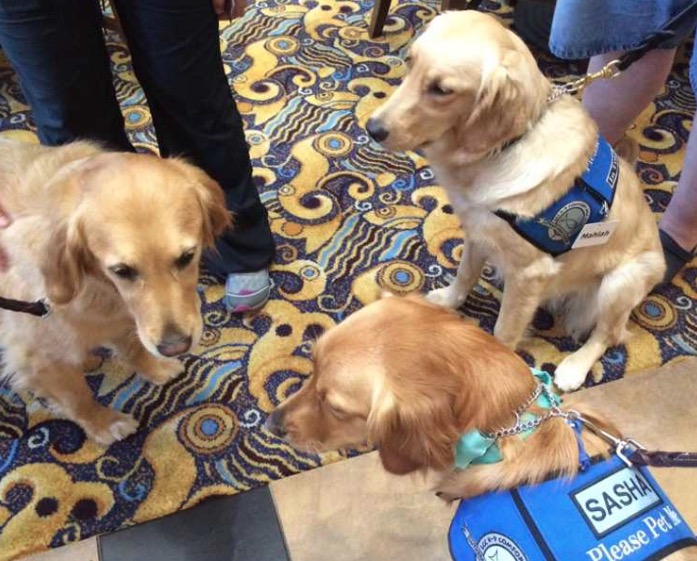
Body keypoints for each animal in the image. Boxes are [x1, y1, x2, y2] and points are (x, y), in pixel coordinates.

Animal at [0, 140, 231, 446]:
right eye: (122, 270)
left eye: (187, 257)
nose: (174, 347)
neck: (98, 286)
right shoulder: (37, 357)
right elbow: (78, 399)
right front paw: (104, 424)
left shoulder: (127, 319)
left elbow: (133, 346)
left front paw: (155, 367)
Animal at [364, 10, 664, 392]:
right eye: (409, 62)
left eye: (442, 90)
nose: (373, 128)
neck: (507, 145)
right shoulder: (478, 229)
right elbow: (465, 273)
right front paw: (449, 300)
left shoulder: (529, 273)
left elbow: (504, 330)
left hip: (621, 281)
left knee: (607, 335)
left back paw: (574, 367)